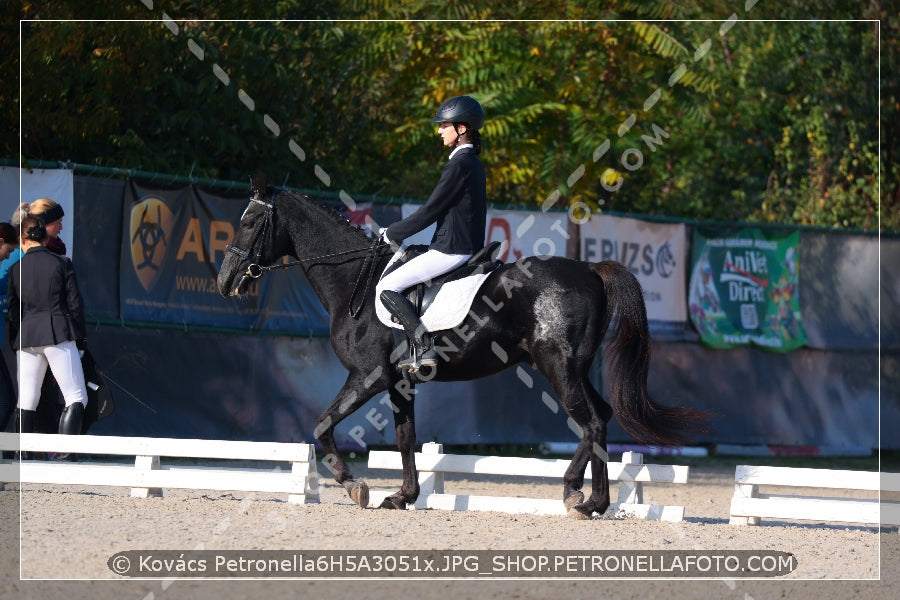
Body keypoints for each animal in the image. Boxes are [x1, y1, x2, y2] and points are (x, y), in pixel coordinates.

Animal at [218, 180, 712, 516]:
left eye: (250, 222)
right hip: (573, 367)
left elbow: (322, 425)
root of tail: (590, 269)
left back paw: (581, 496)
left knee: (590, 421)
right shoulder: (399, 384)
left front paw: (354, 485)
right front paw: (403, 496)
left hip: (558, 366)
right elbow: (405, 438)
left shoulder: (367, 378)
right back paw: (588, 497)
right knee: (600, 418)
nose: (225, 281)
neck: (353, 281)